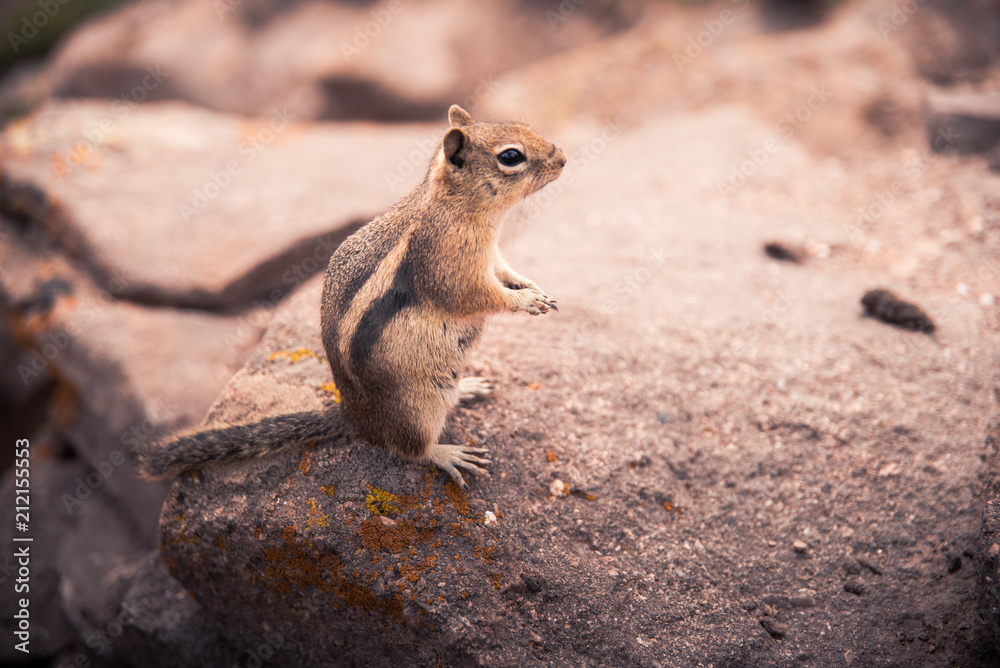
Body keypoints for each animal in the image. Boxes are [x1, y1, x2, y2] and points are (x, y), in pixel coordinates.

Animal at [136, 105, 566, 487]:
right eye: (511, 156)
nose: (562, 159)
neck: (455, 206)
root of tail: (356, 418)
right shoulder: (449, 267)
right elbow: (477, 296)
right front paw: (525, 302)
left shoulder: (491, 257)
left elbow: (507, 272)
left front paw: (533, 288)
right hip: (417, 405)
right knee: (409, 448)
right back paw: (447, 454)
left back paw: (470, 387)